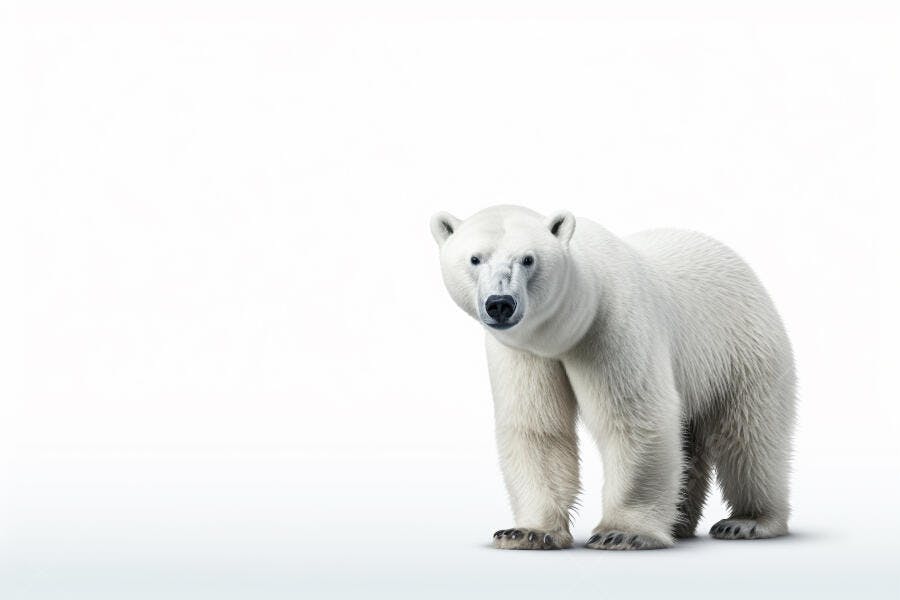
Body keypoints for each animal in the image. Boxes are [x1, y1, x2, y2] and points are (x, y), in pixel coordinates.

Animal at [430, 205, 795, 550]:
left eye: (528, 259)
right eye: (475, 258)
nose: (500, 304)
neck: (563, 329)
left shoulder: (611, 325)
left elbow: (634, 418)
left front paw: (622, 534)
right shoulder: (526, 353)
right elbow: (538, 428)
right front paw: (526, 532)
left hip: (741, 347)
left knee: (749, 436)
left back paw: (747, 521)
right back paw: (679, 523)